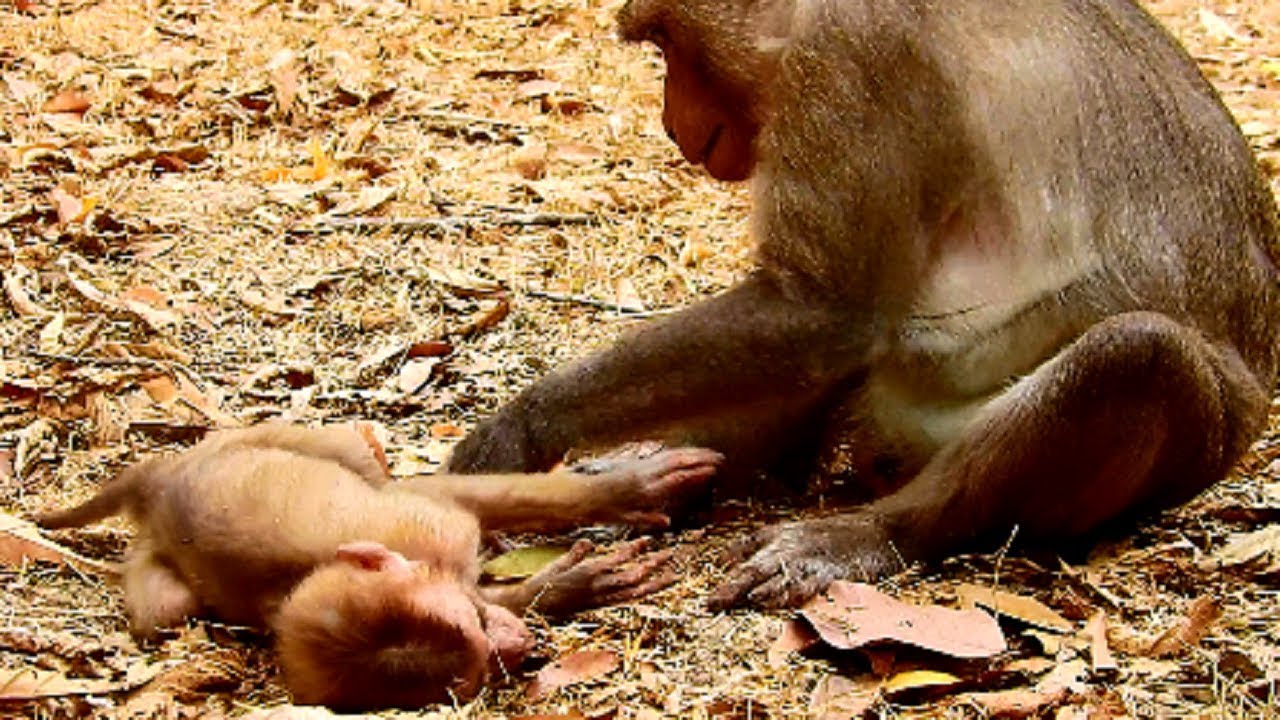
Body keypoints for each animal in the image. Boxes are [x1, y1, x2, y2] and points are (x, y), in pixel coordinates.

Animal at [37, 423, 722, 710]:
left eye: (474, 631)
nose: (519, 646)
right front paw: (566, 587)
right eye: (480, 666)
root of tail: (156, 480)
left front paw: (626, 489)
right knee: (165, 614)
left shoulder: (423, 530)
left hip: (245, 438)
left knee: (353, 452)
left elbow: (450, 500)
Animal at [444, 0, 1280, 610]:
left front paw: (521, 430)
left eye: (670, 46)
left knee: (1135, 354)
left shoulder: (851, 61)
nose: (670, 122)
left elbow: (820, 314)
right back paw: (674, 486)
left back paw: (867, 535)